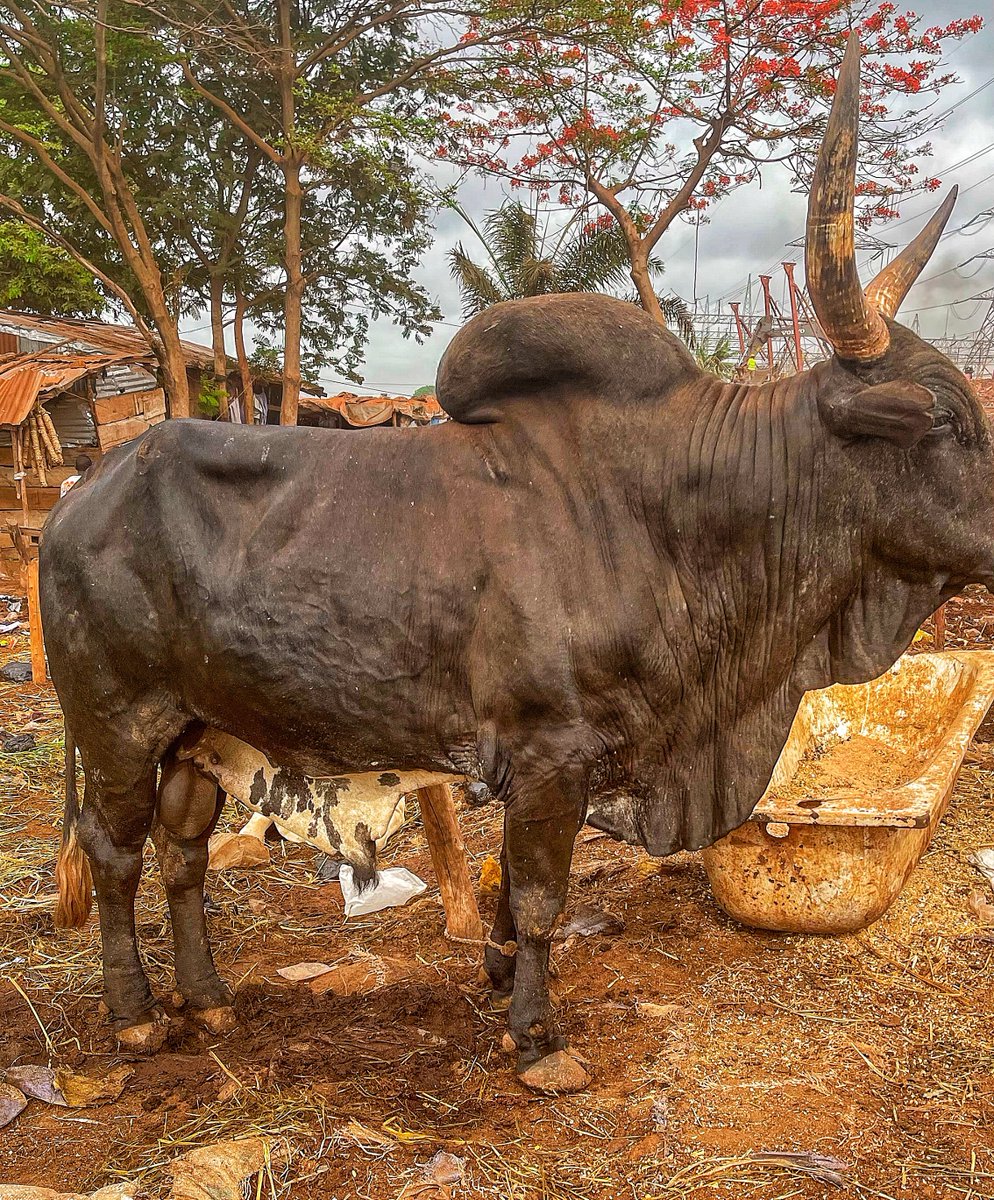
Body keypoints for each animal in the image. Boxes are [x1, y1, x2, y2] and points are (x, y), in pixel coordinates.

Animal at [41, 36, 994, 1092]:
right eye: (946, 420)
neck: (677, 513)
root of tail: (80, 495)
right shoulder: (551, 756)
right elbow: (540, 894)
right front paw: (537, 1037)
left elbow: (508, 893)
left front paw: (499, 978)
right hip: (117, 723)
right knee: (115, 852)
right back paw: (135, 1016)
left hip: (200, 730)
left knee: (183, 852)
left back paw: (207, 998)